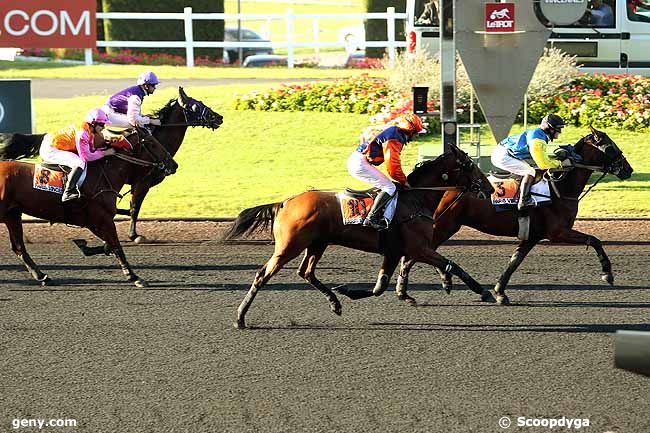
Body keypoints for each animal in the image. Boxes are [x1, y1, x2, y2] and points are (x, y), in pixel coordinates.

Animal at [0, 130, 176, 286]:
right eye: (152, 143)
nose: (174, 164)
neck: (104, 175)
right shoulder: (102, 219)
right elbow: (117, 246)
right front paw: (133, 276)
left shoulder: (94, 222)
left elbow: (109, 245)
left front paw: (84, 245)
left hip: (12, 215)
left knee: (18, 248)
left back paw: (42, 276)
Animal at [221, 143, 492, 328]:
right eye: (470, 165)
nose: (489, 187)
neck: (416, 200)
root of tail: (286, 202)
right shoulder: (419, 248)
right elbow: (452, 264)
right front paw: (484, 291)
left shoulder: (394, 252)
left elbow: (380, 287)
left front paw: (347, 291)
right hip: (289, 246)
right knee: (262, 275)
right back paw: (240, 317)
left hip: (317, 244)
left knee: (306, 272)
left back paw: (335, 302)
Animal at [392, 126, 632, 306]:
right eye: (610, 147)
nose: (628, 169)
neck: (560, 188)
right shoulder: (558, 232)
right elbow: (595, 240)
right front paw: (607, 273)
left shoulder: (532, 235)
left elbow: (514, 261)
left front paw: (500, 292)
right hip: (444, 225)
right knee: (413, 255)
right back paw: (409, 290)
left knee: (419, 254)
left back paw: (431, 285)